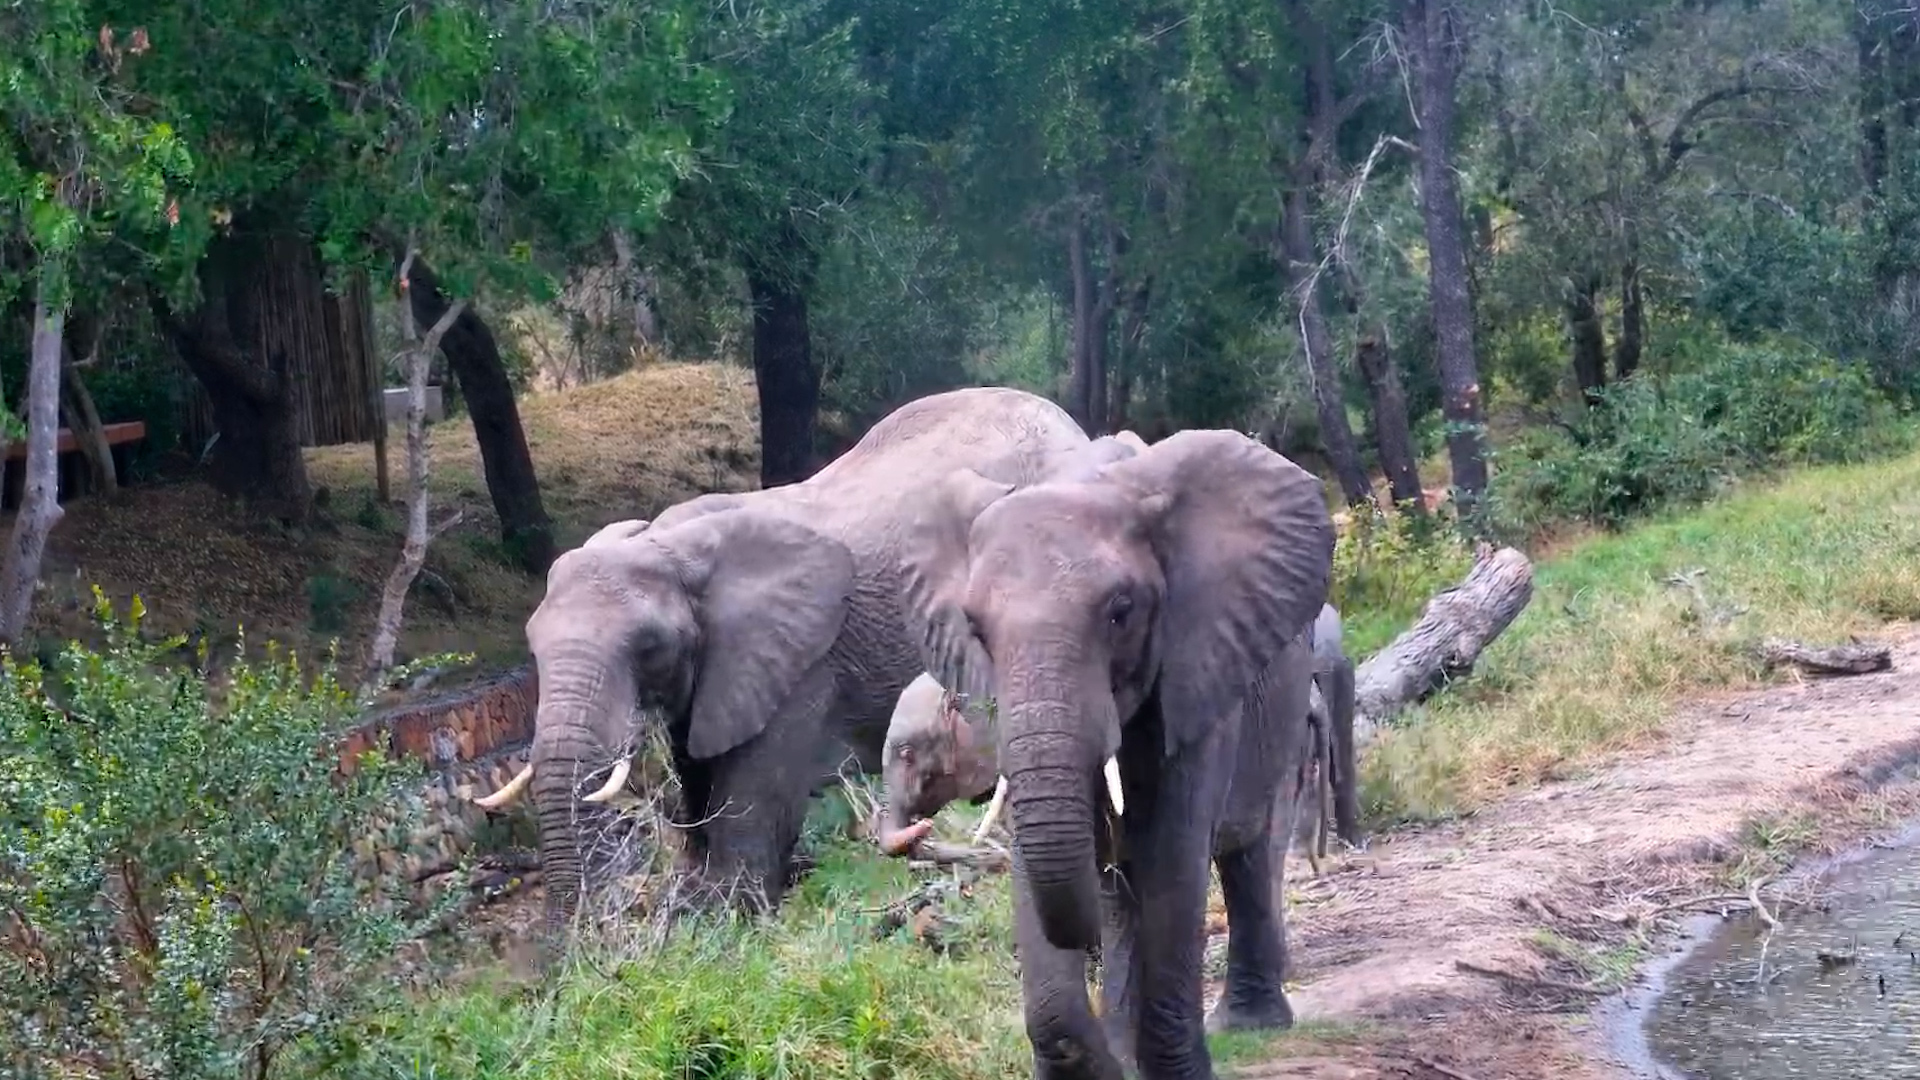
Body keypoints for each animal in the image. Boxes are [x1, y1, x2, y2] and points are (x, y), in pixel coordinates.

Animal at [466, 386, 1109, 933]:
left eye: (647, 647)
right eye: (532, 645)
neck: (672, 545)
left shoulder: (799, 665)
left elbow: (750, 795)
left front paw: (727, 915)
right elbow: (698, 773)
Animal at [899, 428, 1336, 1080]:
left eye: (1120, 612)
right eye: (975, 629)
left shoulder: (1199, 667)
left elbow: (1172, 861)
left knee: (1250, 854)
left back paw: (1251, 1024)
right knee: (1125, 898)